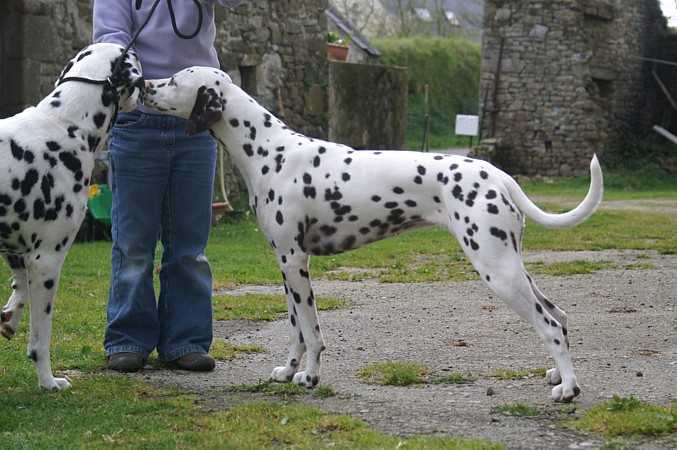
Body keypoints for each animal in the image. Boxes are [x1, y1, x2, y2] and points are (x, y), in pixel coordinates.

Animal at [0, 42, 144, 388]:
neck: (67, 124)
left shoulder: (16, 250)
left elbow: (19, 287)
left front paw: (9, 317)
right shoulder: (47, 261)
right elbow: (41, 339)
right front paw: (48, 381)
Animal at [143, 66, 604, 400]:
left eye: (174, 80)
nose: (142, 84)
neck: (269, 151)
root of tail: (498, 174)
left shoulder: (295, 262)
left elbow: (312, 332)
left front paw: (309, 378)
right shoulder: (286, 265)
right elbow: (294, 330)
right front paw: (288, 372)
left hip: (498, 270)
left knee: (549, 323)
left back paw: (567, 389)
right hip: (511, 265)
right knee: (560, 315)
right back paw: (557, 375)